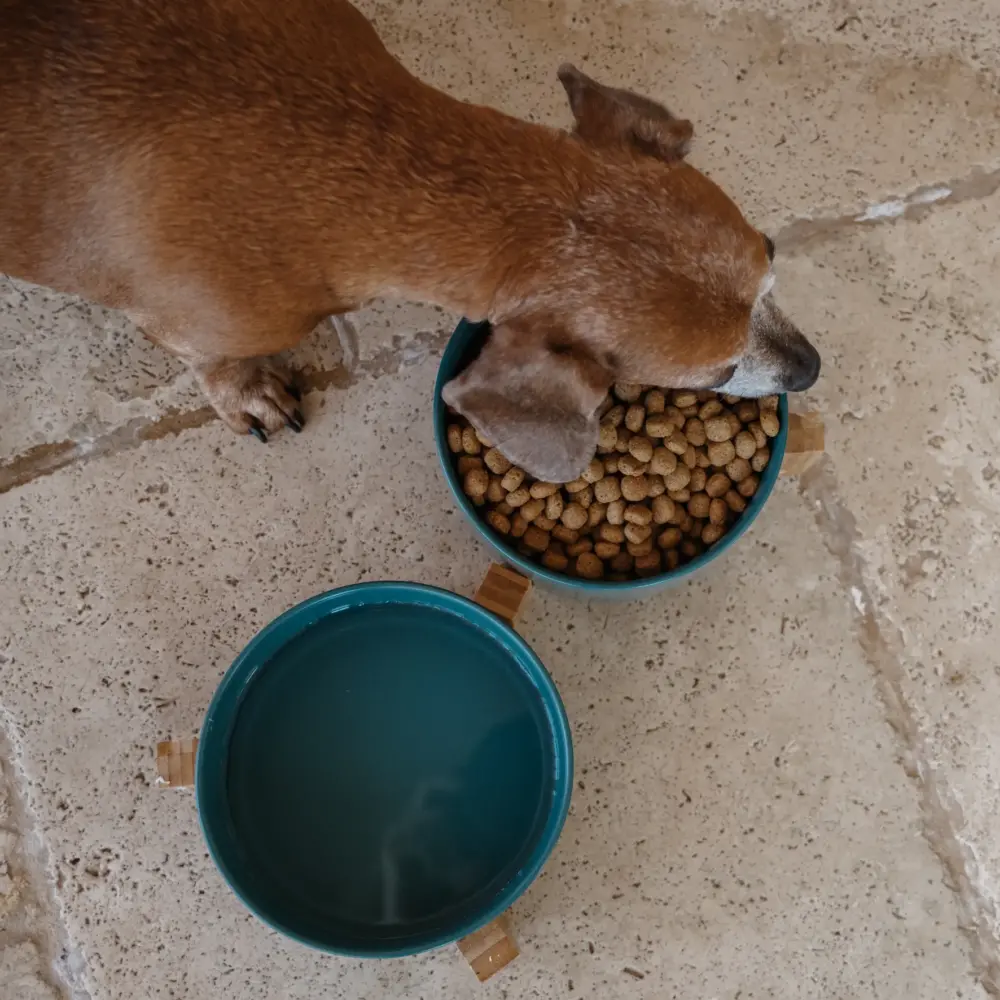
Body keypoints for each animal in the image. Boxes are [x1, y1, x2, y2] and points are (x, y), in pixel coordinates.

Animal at [0, 0, 816, 484]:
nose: (810, 370)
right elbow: (213, 363)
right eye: (717, 372)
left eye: (772, 257)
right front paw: (246, 392)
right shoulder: (195, 324)